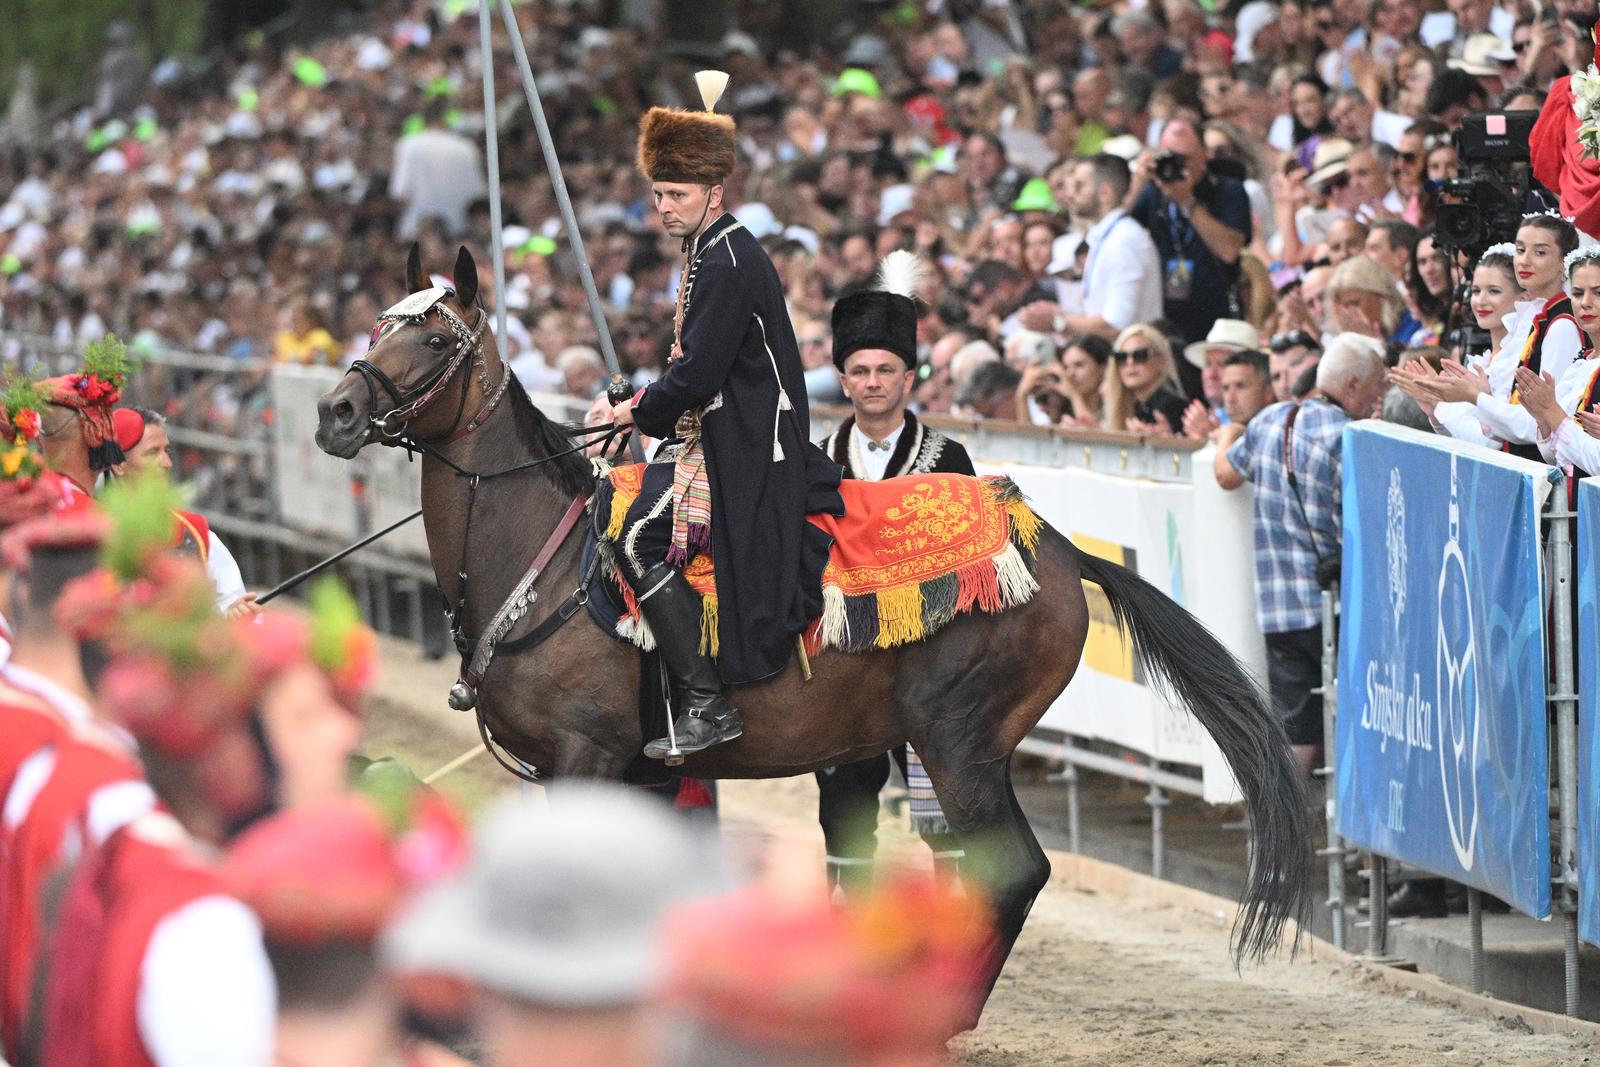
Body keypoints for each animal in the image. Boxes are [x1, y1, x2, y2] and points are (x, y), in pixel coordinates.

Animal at [315, 247, 1312, 1023]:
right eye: (380, 323)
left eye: (435, 337)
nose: (335, 412)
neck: (541, 558)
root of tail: (1059, 548)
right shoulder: (626, 774)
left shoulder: (586, 755)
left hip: (959, 743)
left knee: (1010, 871)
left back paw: (945, 1013)